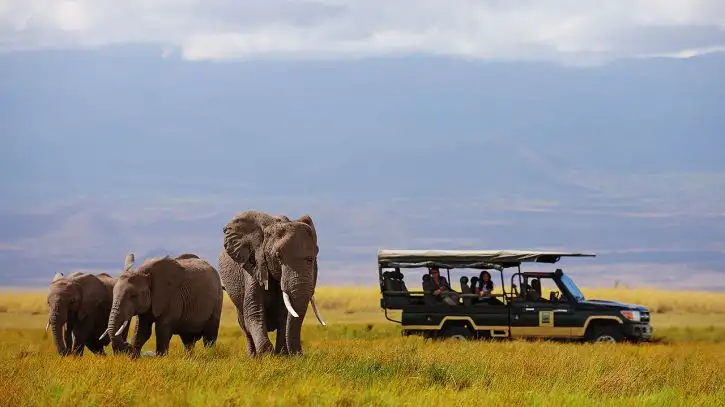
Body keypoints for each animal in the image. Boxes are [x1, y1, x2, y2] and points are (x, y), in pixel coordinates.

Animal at [218, 210, 326, 356]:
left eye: (314, 257)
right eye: (278, 256)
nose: (301, 355)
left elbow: (285, 314)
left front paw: (282, 355)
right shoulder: (254, 264)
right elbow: (253, 311)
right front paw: (267, 355)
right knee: (244, 324)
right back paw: (252, 357)